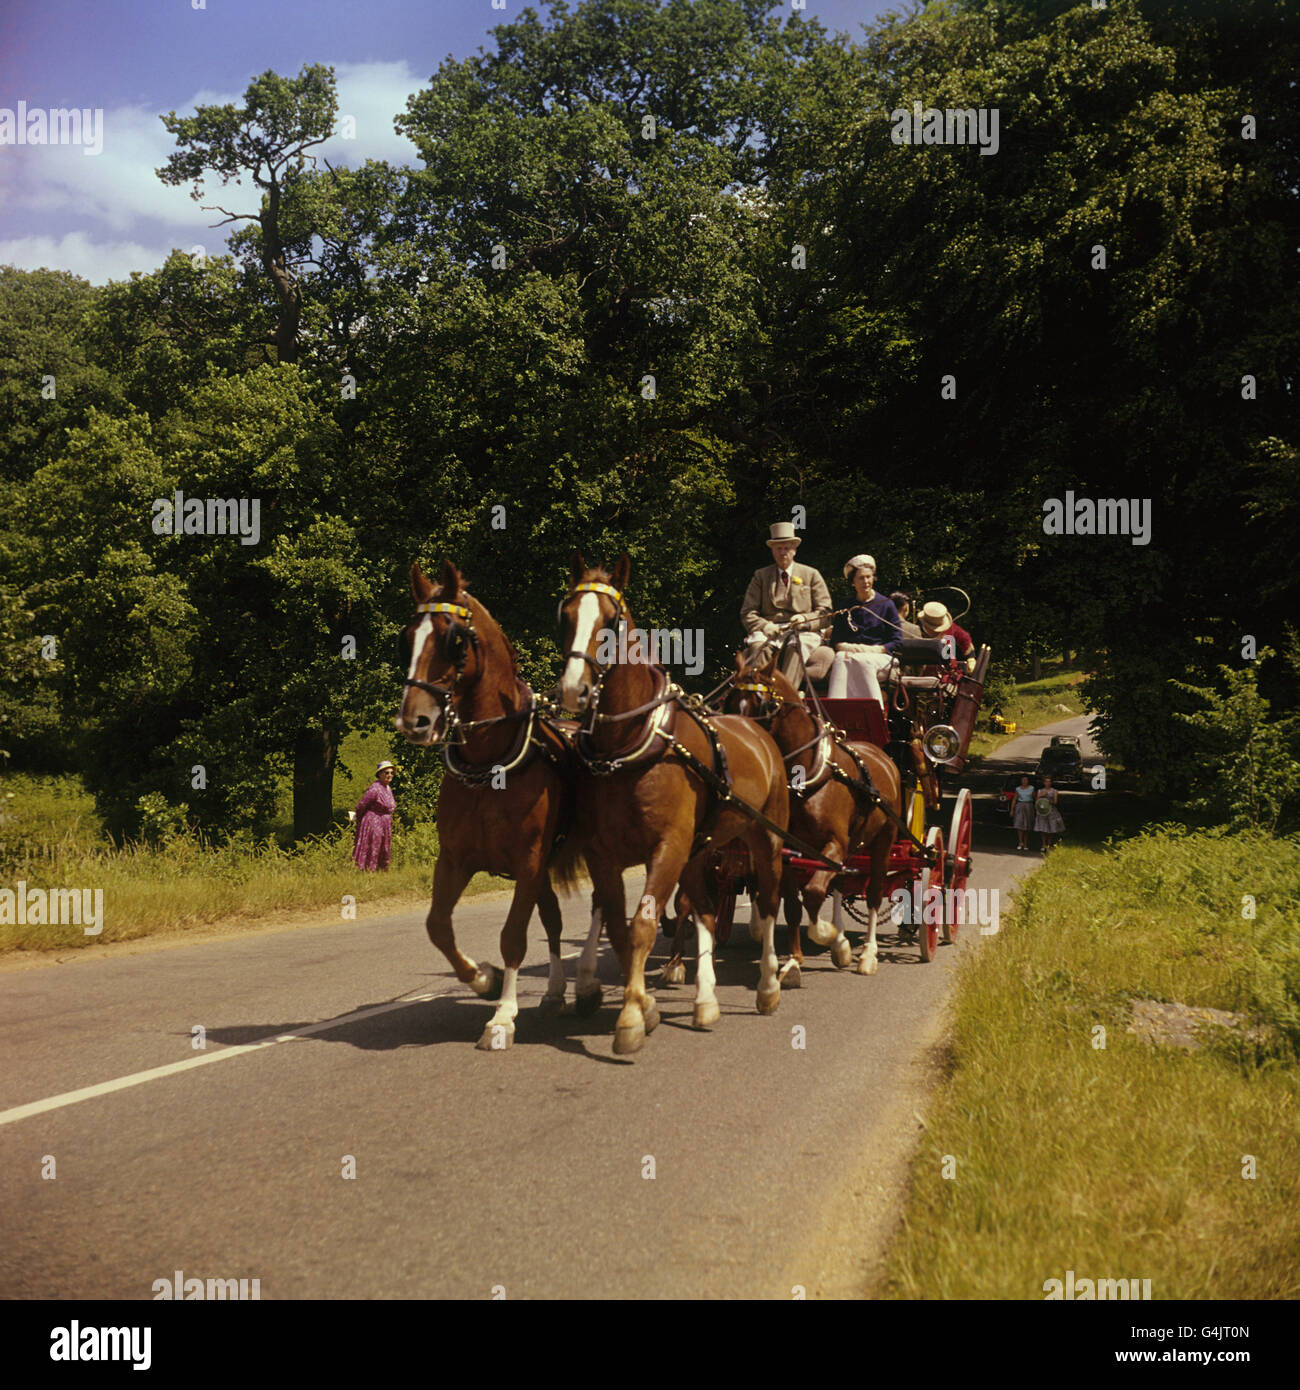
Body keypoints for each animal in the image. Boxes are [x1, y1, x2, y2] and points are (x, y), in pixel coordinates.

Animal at [397, 558, 575, 1045]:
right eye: (407, 637)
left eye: (455, 640)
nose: (414, 721)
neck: (489, 764)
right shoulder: (455, 860)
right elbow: (438, 926)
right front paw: (485, 980)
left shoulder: (529, 863)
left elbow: (513, 936)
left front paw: (503, 1015)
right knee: (554, 921)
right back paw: (556, 993)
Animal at [553, 553, 789, 1050]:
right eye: (566, 615)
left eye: (612, 621)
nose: (572, 691)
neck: (628, 745)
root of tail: (759, 732)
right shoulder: (604, 853)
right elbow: (620, 927)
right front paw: (642, 1005)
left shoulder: (667, 848)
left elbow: (643, 924)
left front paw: (629, 1020)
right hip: (700, 851)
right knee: (703, 910)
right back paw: (705, 1000)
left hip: (765, 839)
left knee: (768, 901)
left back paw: (769, 984)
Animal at [728, 650, 900, 978]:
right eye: (730, 700)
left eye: (764, 705)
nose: (744, 744)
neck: (807, 774)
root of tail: (884, 757)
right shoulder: (789, 850)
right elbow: (794, 904)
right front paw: (796, 960)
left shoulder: (833, 843)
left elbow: (813, 893)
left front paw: (826, 935)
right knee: (841, 882)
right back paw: (842, 939)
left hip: (883, 840)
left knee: (873, 892)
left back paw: (868, 953)